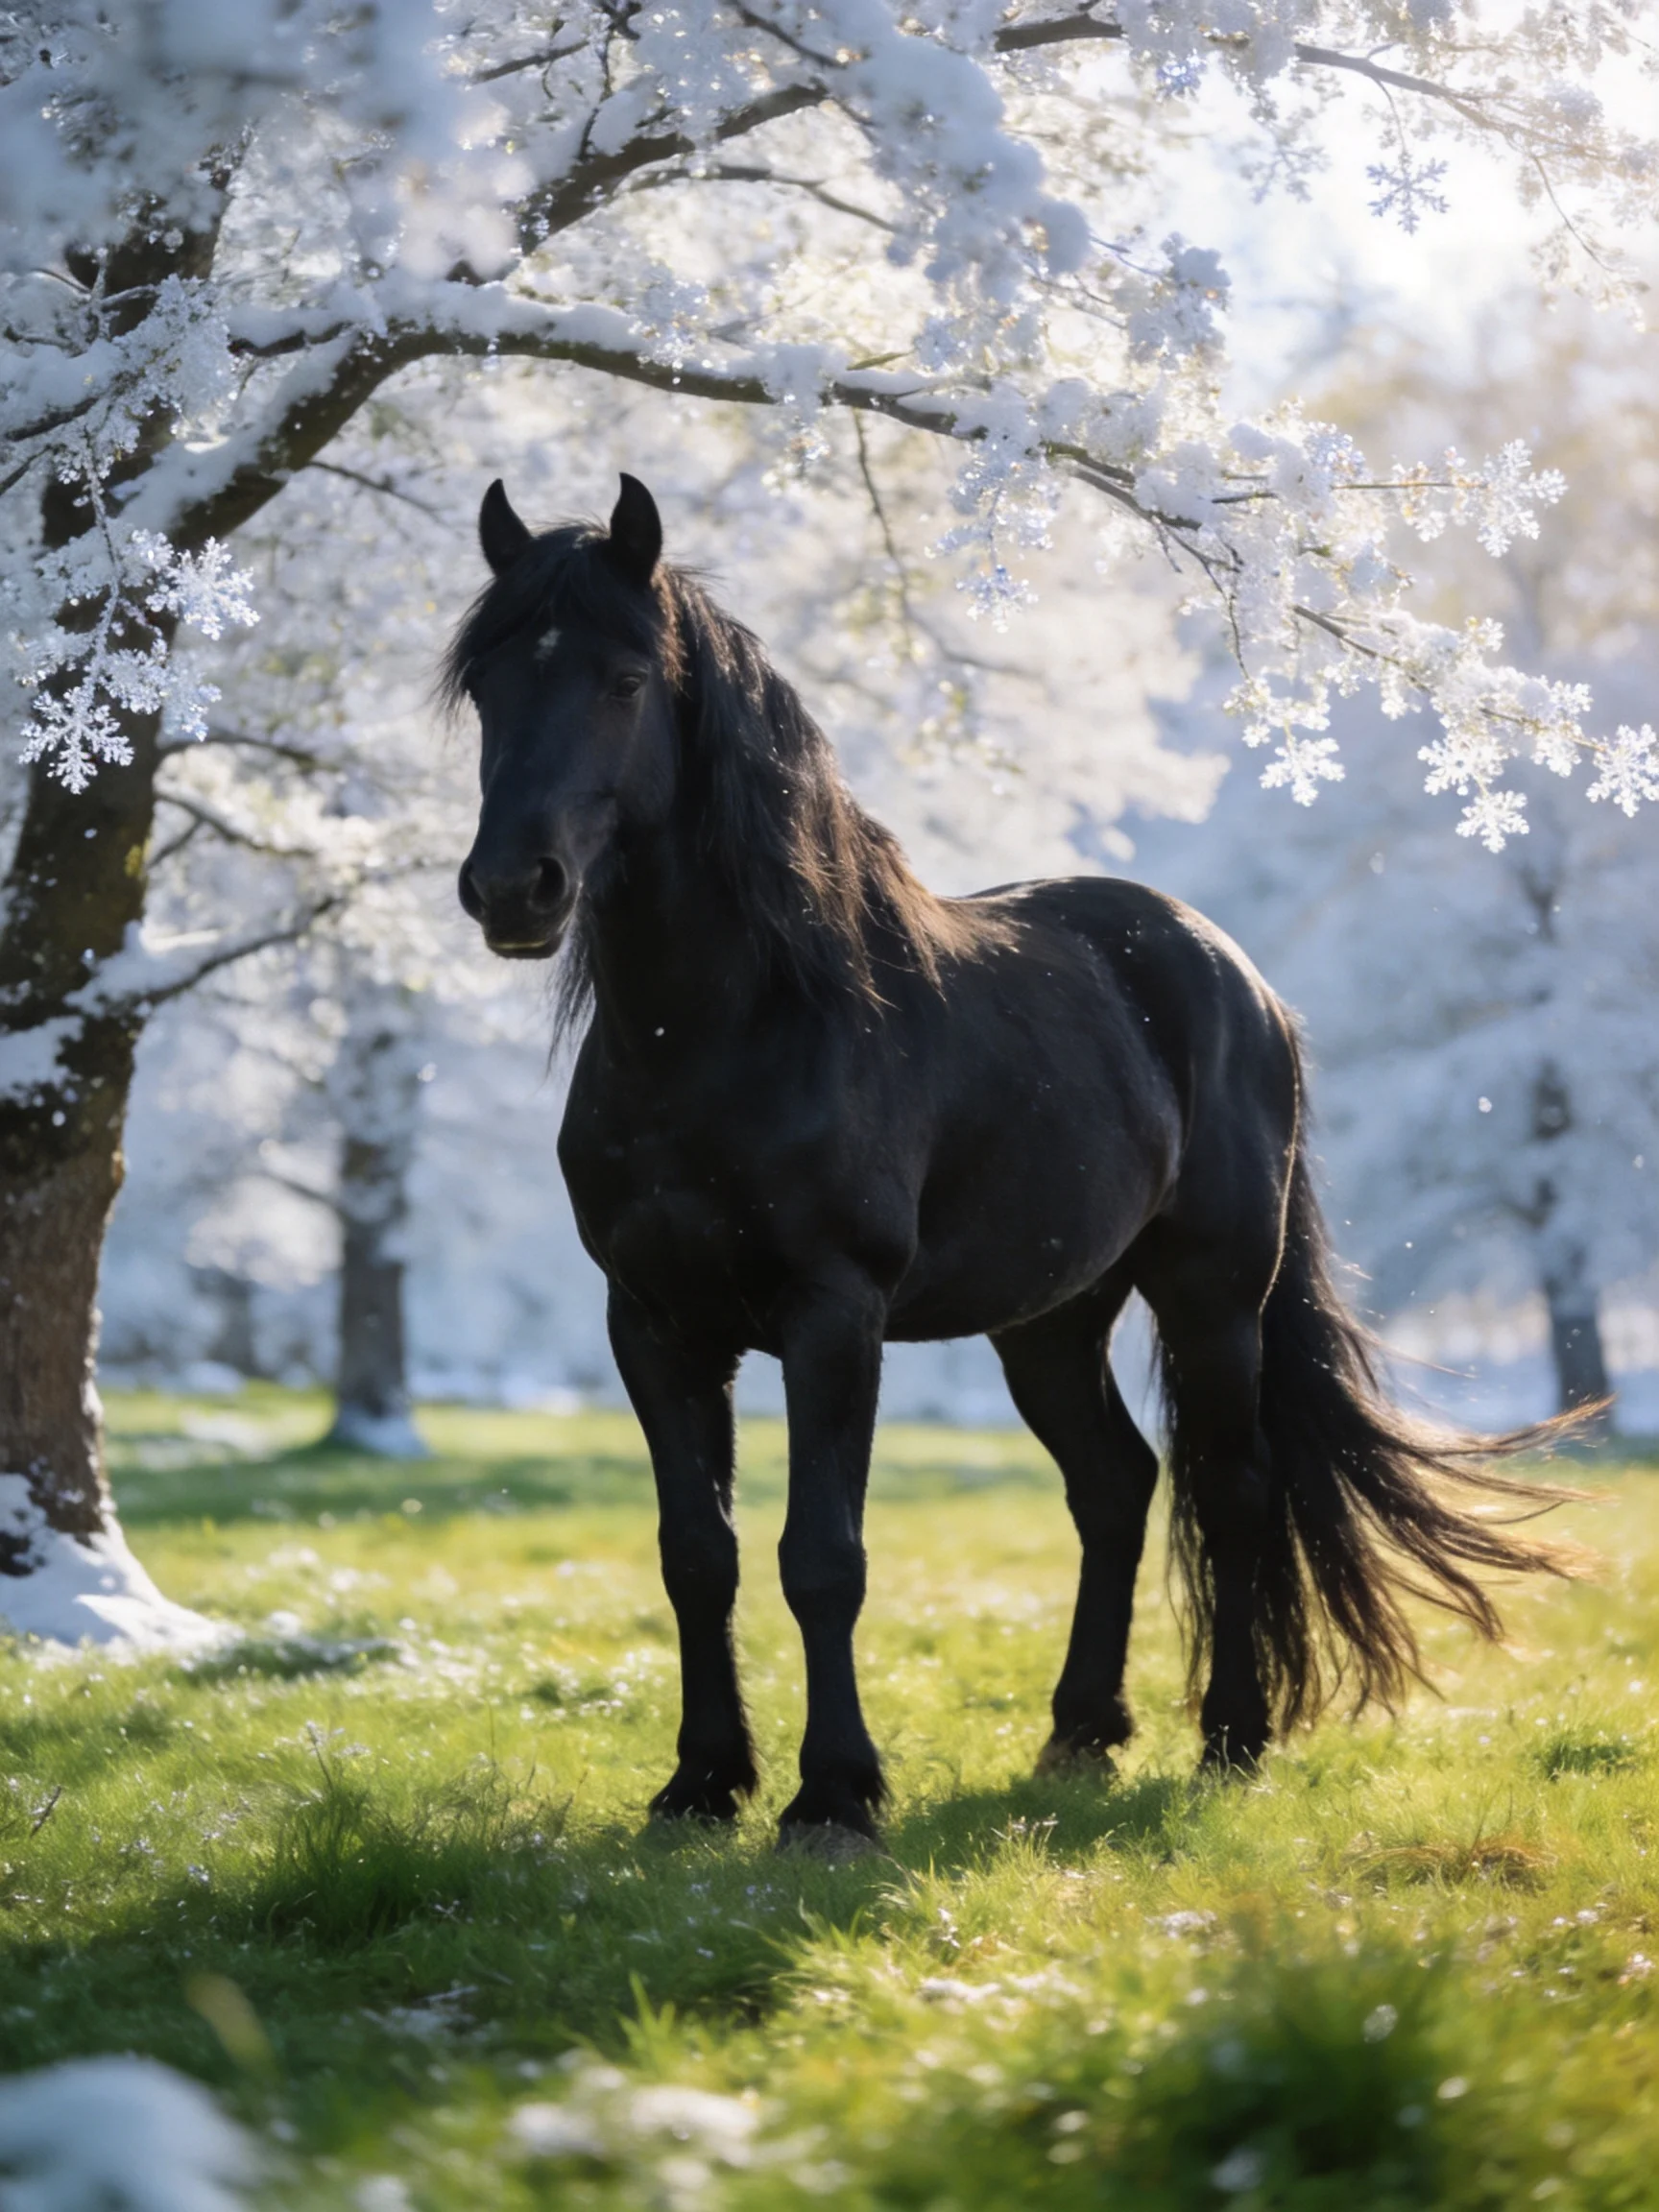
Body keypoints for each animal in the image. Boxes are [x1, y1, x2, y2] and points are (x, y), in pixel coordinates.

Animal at [446, 472, 1576, 1851]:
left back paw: (1231, 1741)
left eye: (622, 678)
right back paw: (1081, 1732)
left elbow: (823, 1556)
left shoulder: (834, 1317)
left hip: (1213, 1297)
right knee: (1118, 1484)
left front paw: (836, 1796)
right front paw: (703, 1785)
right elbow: (695, 1555)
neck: (736, 1027)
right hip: (1048, 1320)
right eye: (487, 685)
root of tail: (1238, 977)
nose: (514, 889)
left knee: (1235, 1487)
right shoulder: (653, 1323)